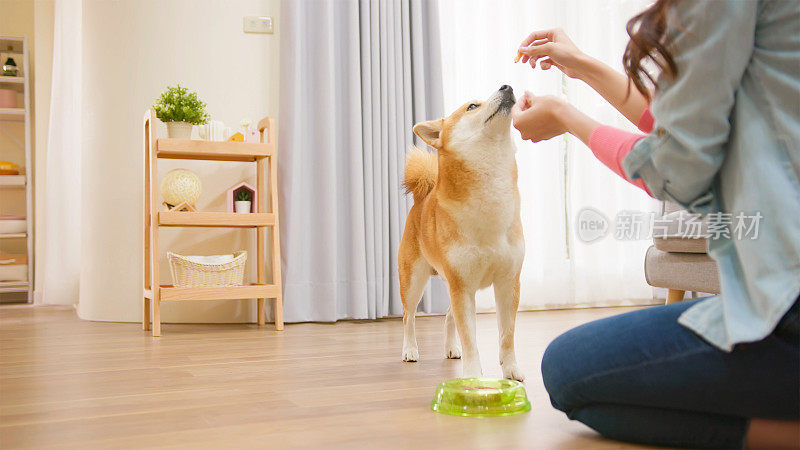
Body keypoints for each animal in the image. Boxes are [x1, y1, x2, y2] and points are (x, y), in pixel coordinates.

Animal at [400, 83, 524, 380]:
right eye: (472, 106)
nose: (507, 86)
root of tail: (421, 200)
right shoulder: (463, 285)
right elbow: (470, 338)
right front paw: (472, 374)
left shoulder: (508, 282)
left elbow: (507, 335)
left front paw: (511, 369)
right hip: (415, 280)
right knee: (408, 316)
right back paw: (410, 349)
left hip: (454, 284)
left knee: (448, 316)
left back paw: (451, 348)